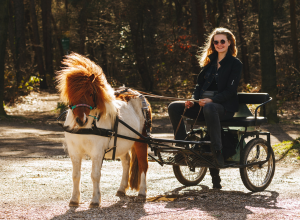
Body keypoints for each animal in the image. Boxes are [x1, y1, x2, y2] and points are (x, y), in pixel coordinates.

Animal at [55, 52, 152, 207]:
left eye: (90, 93)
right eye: (72, 94)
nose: (80, 120)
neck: (87, 127)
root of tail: (138, 95)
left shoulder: (97, 151)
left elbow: (95, 175)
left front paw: (95, 200)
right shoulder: (74, 151)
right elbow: (75, 175)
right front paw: (74, 199)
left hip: (141, 140)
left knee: (143, 165)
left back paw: (142, 193)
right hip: (122, 143)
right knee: (126, 162)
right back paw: (121, 189)